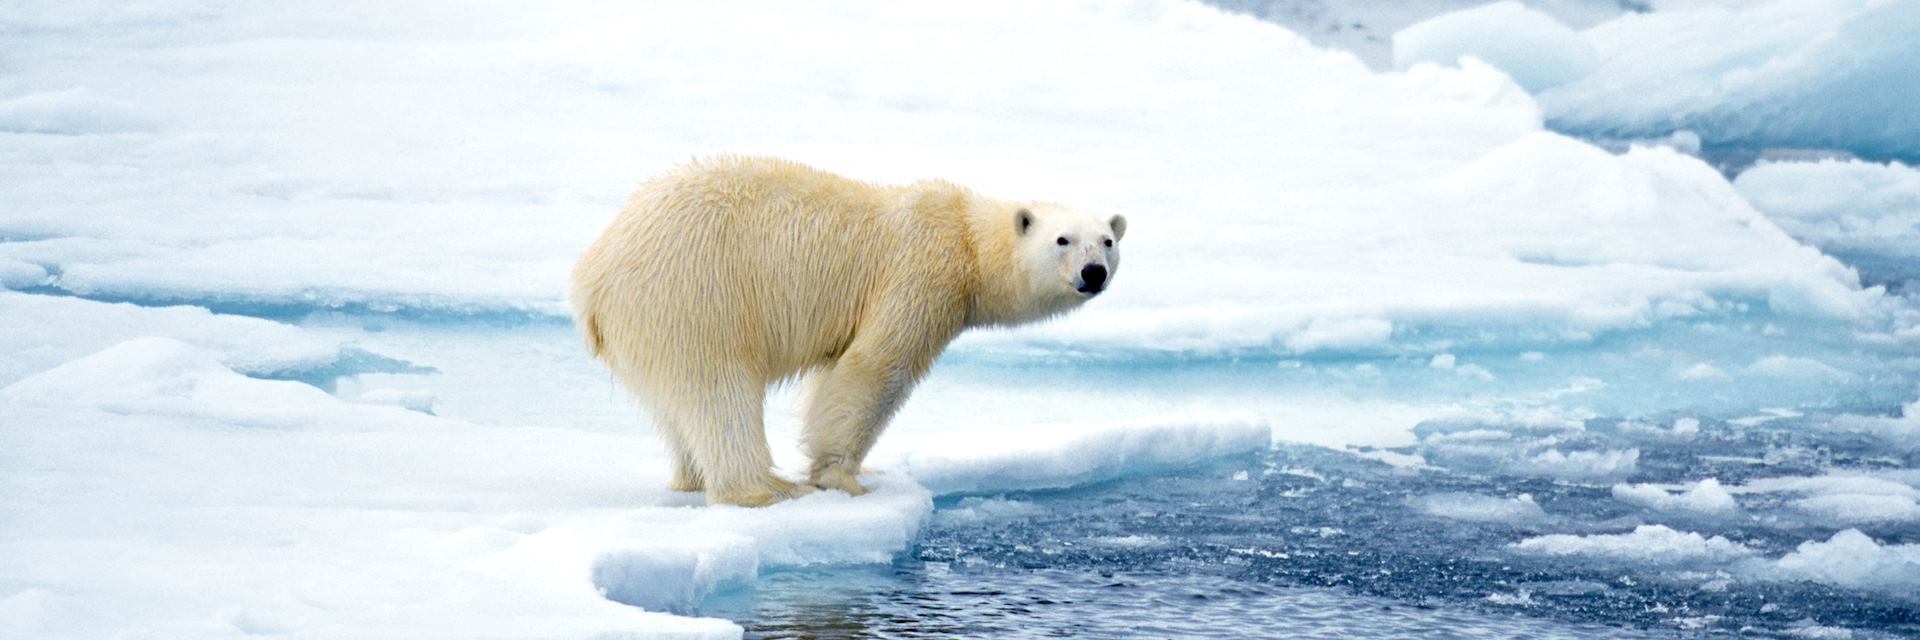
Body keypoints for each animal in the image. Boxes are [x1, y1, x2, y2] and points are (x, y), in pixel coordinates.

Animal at [564, 154, 1121, 503]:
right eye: (1062, 239)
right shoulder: (918, 277)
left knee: (675, 406)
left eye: (1108, 241)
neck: (965, 239)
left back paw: (691, 478)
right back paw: (765, 488)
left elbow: (831, 376)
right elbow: (875, 368)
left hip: (650, 325)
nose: (1093, 273)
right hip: (696, 295)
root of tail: (591, 278)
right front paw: (844, 478)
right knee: (719, 391)